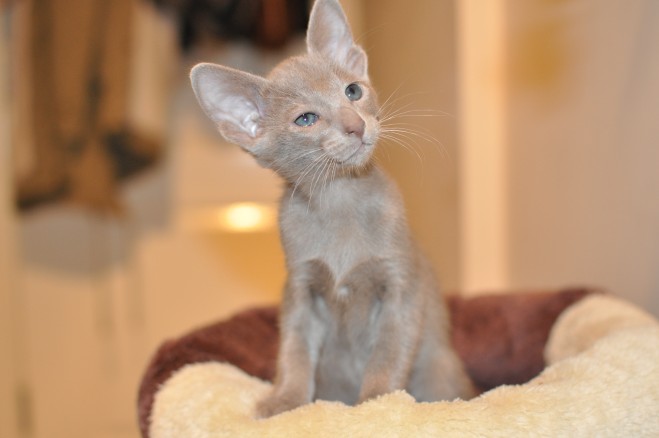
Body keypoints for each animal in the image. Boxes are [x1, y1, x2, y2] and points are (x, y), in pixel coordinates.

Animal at [191, 0, 474, 420]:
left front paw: (376, 402)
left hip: (441, 363)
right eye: (306, 119)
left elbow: (388, 353)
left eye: (352, 91)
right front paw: (284, 403)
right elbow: (293, 352)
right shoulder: (300, 291)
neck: (340, 198)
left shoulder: (401, 285)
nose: (356, 125)